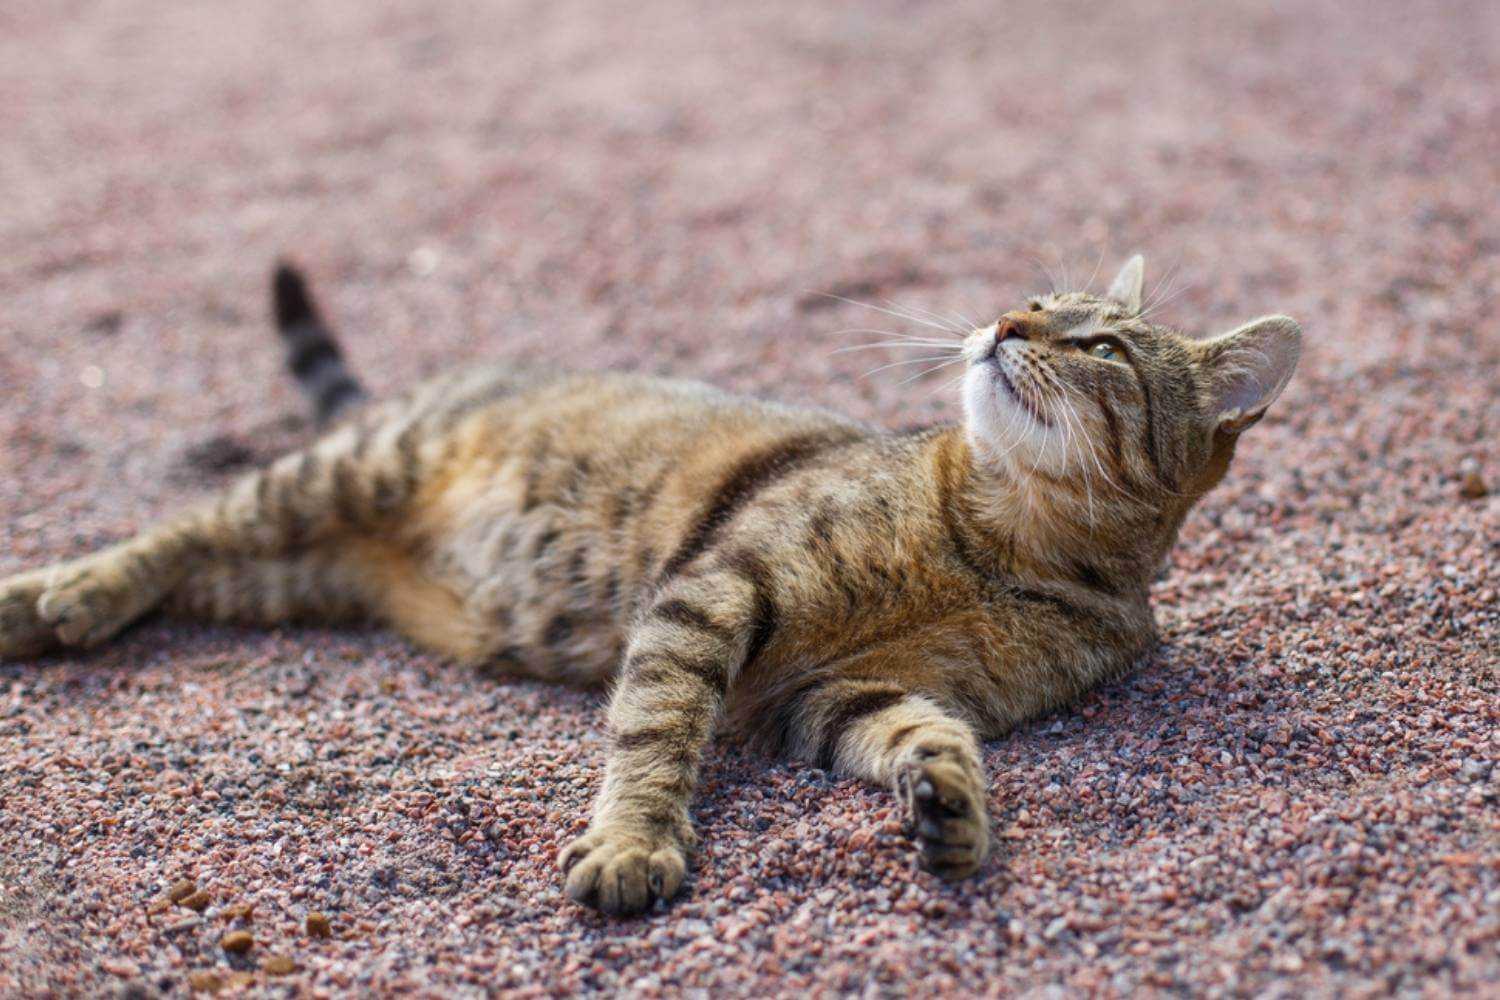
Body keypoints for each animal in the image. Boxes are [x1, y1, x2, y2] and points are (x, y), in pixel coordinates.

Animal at [0, 257, 1302, 917]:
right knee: (181, 529)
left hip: (301, 572)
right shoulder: (717, 589)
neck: (1008, 537)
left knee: (208, 569)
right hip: (348, 474)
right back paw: (54, 592)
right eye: (1037, 296)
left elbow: (922, 732)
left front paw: (947, 800)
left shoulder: (837, 694)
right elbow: (658, 732)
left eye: (1102, 346)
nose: (1005, 320)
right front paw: (634, 842)